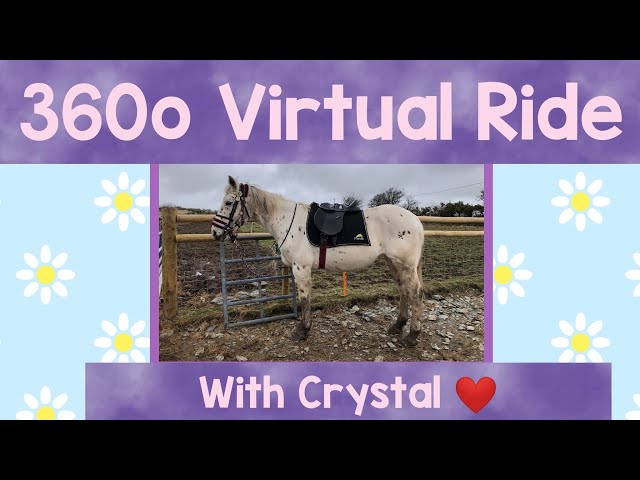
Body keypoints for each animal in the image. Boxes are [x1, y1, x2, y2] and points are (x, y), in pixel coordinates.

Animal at [211, 176, 425, 347]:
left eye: (229, 202)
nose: (215, 232)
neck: (287, 220)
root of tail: (415, 220)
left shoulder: (301, 268)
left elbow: (305, 299)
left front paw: (302, 331)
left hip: (405, 264)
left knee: (415, 292)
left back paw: (412, 335)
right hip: (393, 262)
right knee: (404, 289)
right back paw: (397, 325)